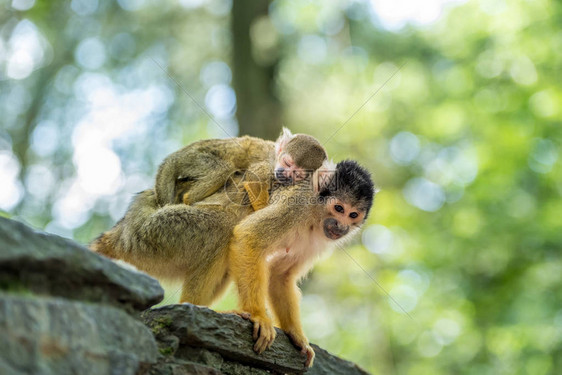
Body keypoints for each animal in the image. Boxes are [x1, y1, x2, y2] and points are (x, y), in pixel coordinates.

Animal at [155, 128, 326, 210]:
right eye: (287, 163)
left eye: (297, 174)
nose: (285, 174)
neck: (274, 156)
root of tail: (177, 155)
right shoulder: (268, 165)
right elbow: (254, 178)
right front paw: (261, 209)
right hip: (193, 158)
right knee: (222, 170)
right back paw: (189, 199)